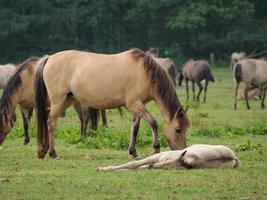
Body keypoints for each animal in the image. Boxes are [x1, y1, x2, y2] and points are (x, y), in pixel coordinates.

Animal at [34, 48, 192, 159]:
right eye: (178, 129)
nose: (182, 151)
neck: (144, 73)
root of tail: (49, 58)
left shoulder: (137, 107)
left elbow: (135, 129)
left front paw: (133, 152)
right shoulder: (135, 104)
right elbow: (153, 123)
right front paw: (156, 149)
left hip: (67, 100)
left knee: (47, 119)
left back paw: (44, 150)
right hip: (58, 100)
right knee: (51, 122)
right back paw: (53, 153)